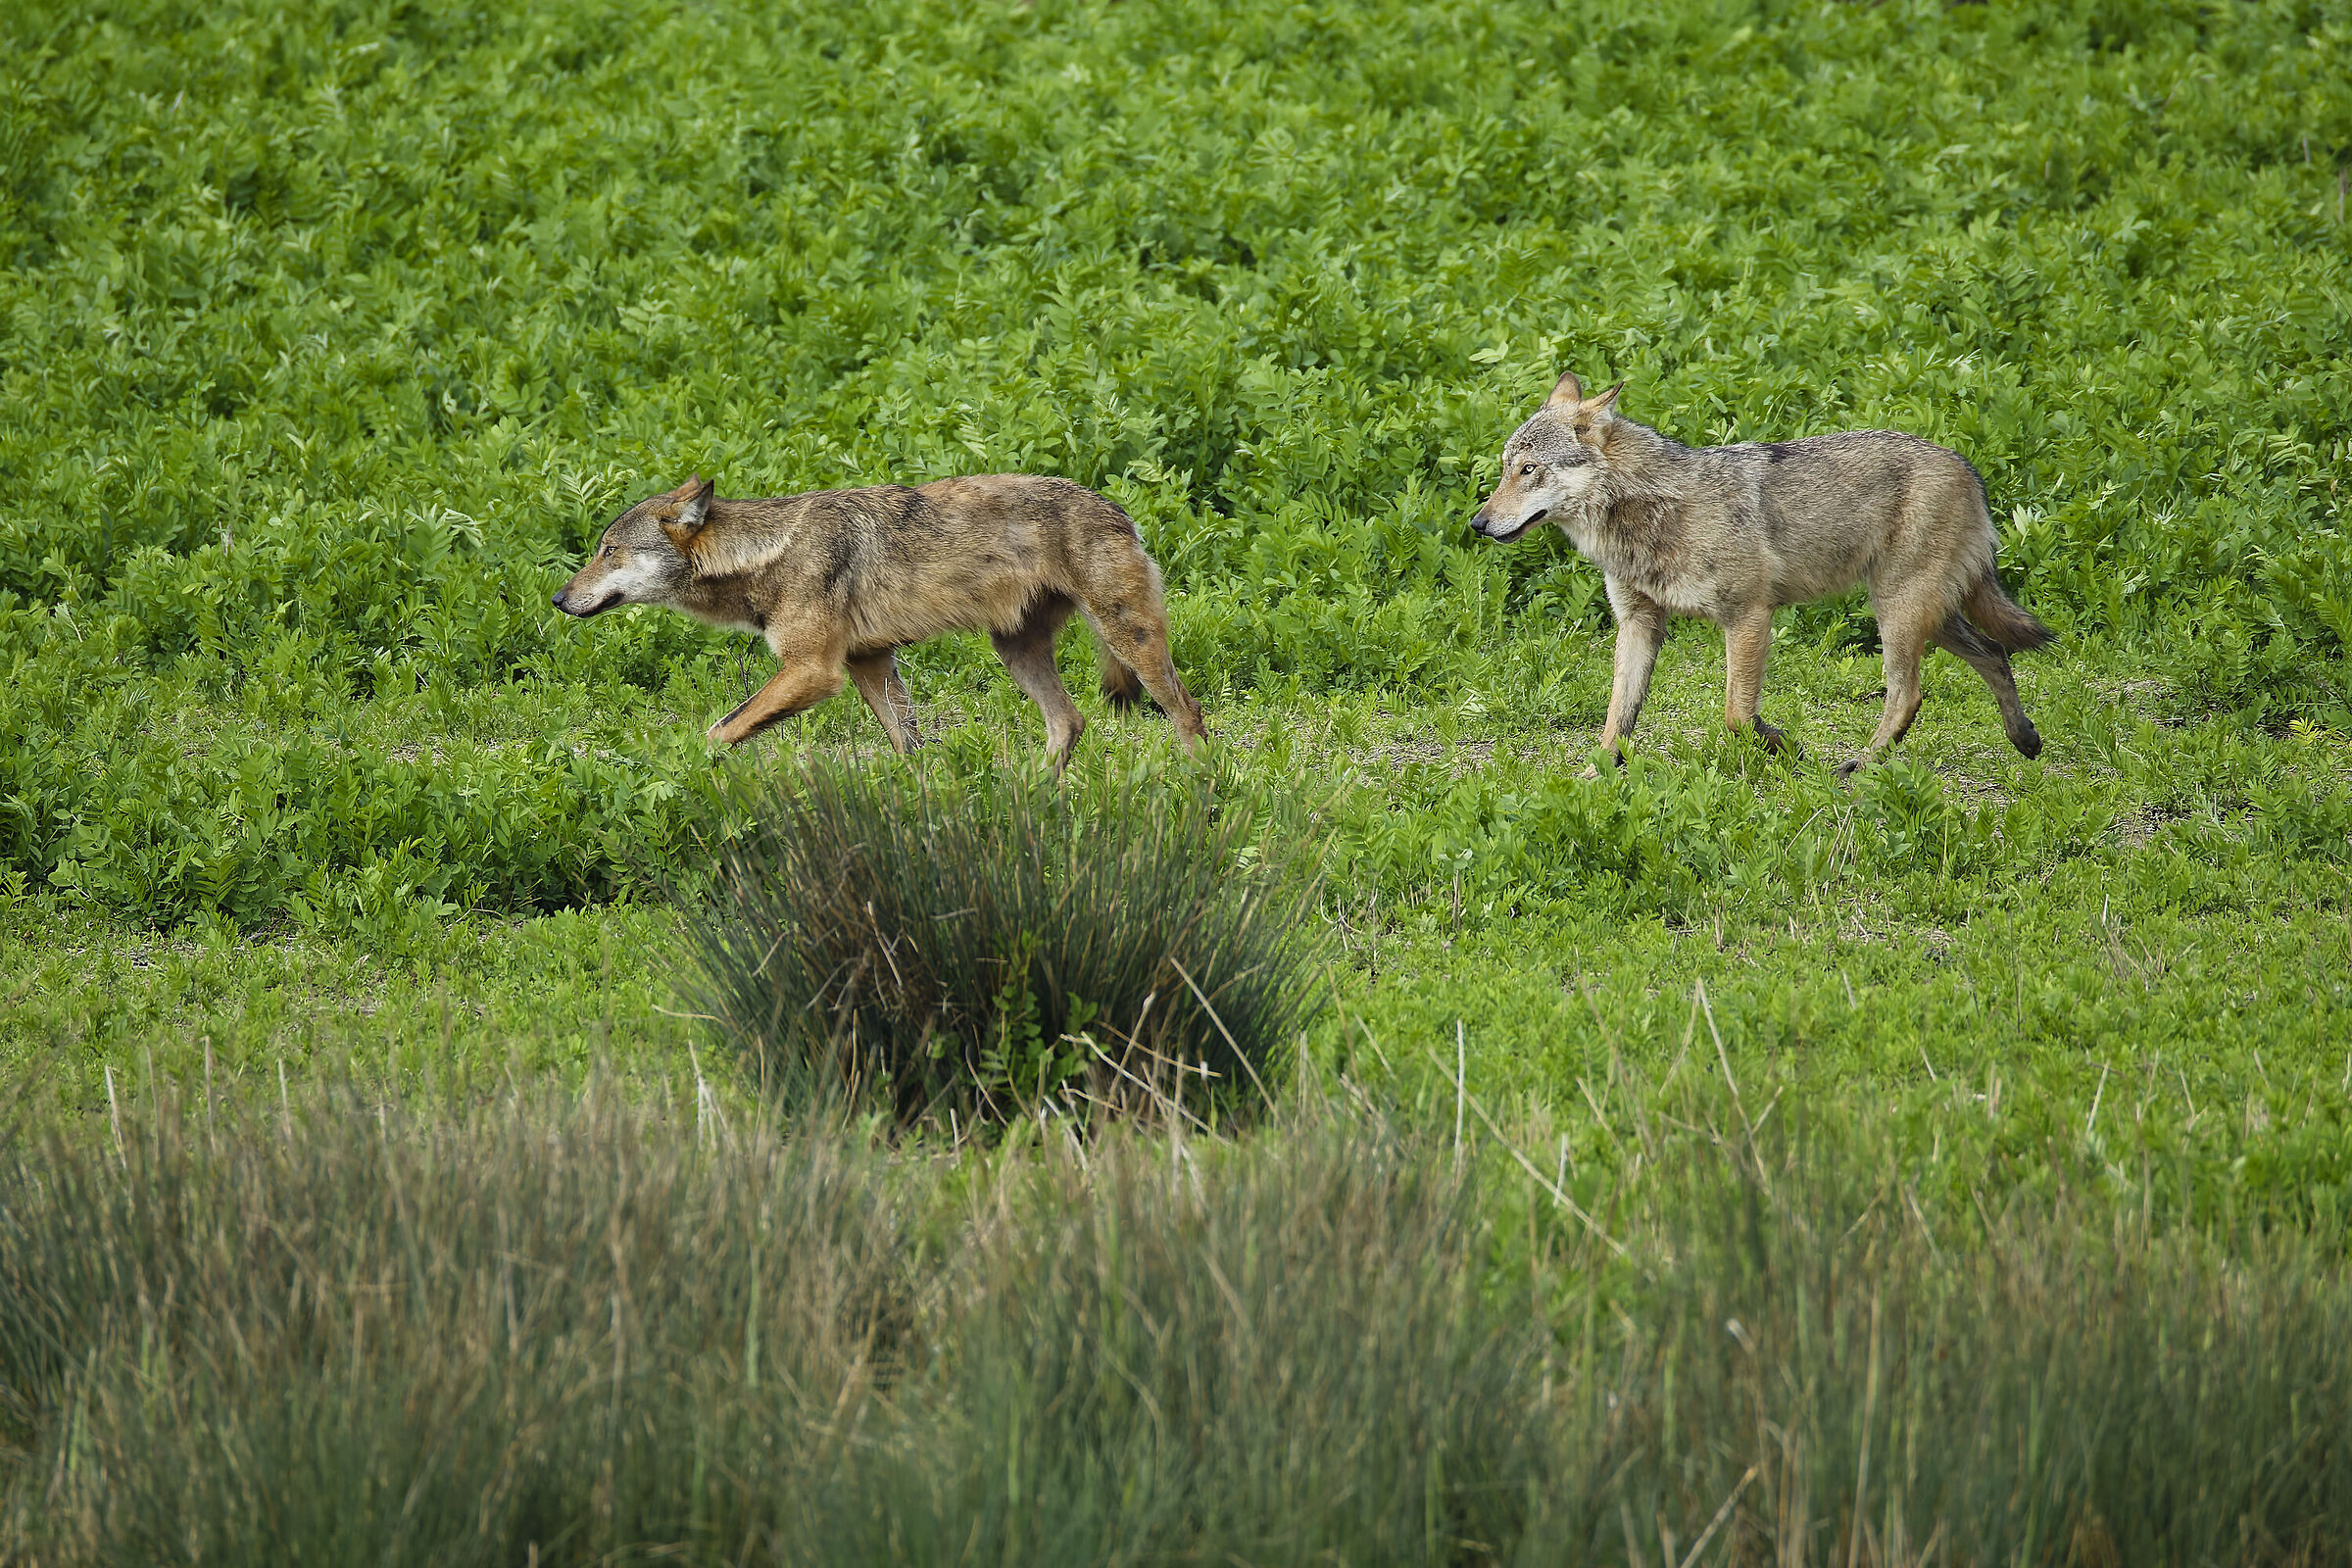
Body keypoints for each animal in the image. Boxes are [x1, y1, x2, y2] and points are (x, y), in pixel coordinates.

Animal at [553, 473, 1207, 763]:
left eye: (609, 552)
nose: (558, 599)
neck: (767, 553)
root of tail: (1119, 509)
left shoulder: (814, 671)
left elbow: (719, 730)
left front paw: (683, 770)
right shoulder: (870, 663)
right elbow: (907, 748)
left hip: (1129, 641)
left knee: (1189, 713)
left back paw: (1198, 791)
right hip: (1017, 650)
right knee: (1069, 722)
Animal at [1470, 371, 2052, 772]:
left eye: (1529, 470)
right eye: (1504, 470)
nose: (1477, 523)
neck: (1652, 513)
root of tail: (1967, 466)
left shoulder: (1749, 617)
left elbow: (1736, 715)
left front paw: (1787, 747)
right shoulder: (1639, 623)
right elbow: (1618, 719)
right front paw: (1593, 779)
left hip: (1899, 613)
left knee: (1908, 694)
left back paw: (1862, 764)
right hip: (1929, 615)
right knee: (1995, 653)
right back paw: (2025, 739)